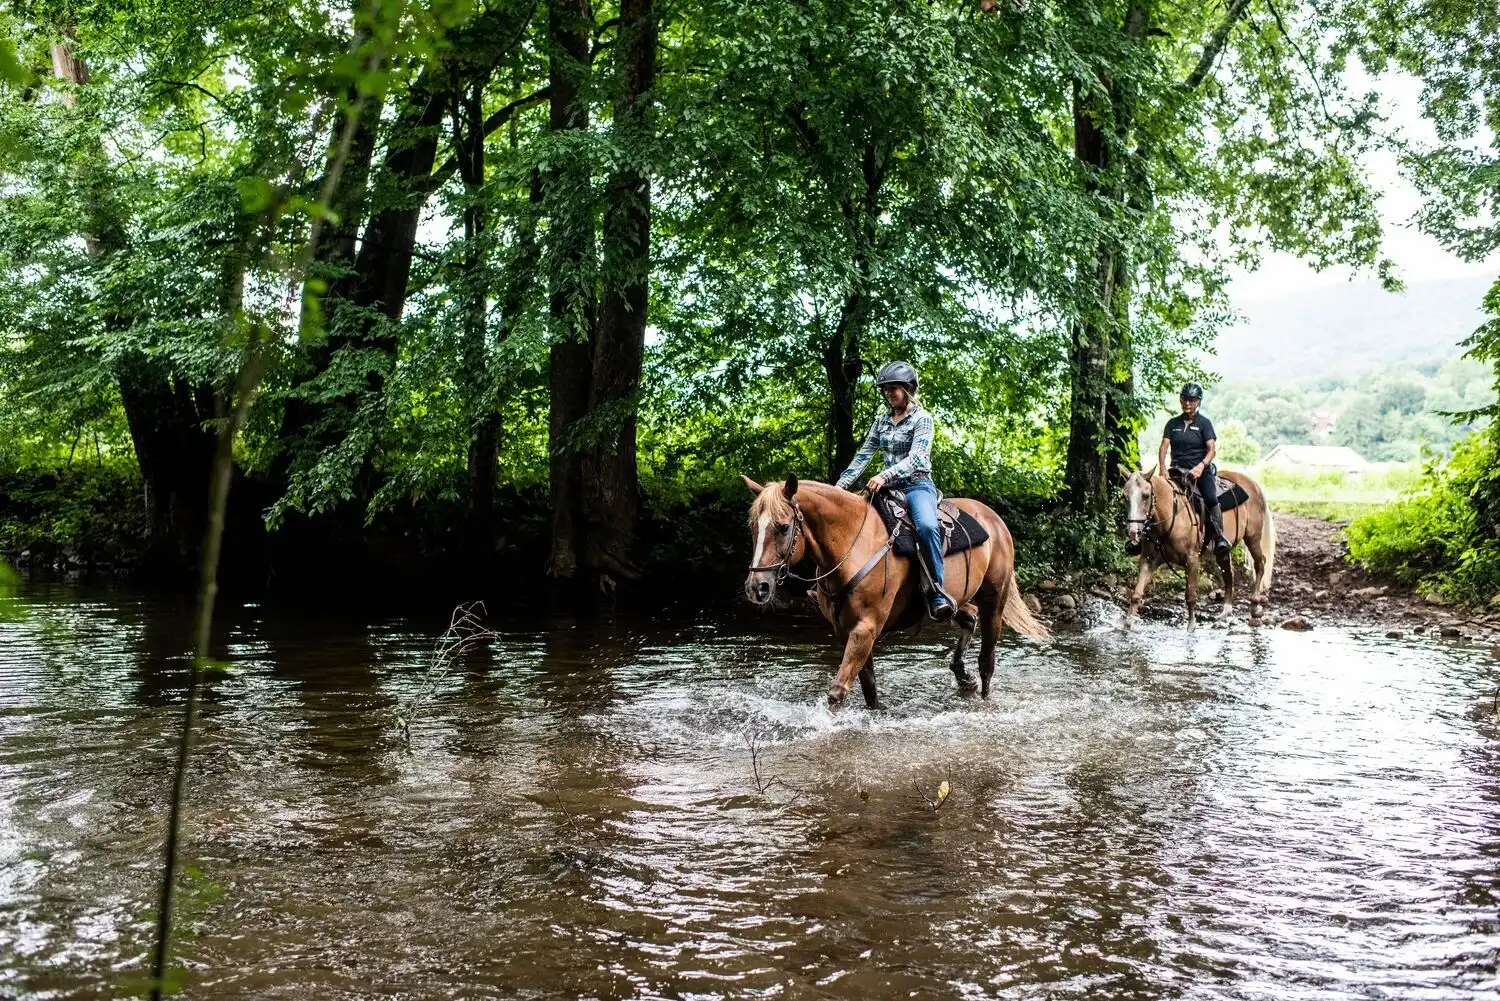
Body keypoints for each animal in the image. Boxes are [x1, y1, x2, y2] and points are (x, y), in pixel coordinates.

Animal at [742, 474, 1047, 708]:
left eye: (783, 527)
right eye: (754, 527)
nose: (757, 587)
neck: (853, 546)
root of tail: (993, 518)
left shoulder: (866, 628)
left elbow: (837, 691)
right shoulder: (847, 630)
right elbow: (869, 688)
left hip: (994, 599)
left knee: (987, 660)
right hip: (955, 601)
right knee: (968, 617)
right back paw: (963, 676)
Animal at [1121, 467, 1277, 629]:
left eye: (1146, 496)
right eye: (1125, 497)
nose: (1133, 531)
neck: (1169, 519)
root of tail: (1254, 484)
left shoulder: (1192, 561)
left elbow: (1190, 596)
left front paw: (1191, 627)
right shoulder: (1148, 560)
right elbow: (1136, 594)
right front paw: (1127, 626)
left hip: (1253, 538)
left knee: (1260, 564)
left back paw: (1254, 606)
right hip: (1222, 551)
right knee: (1229, 573)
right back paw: (1225, 611)